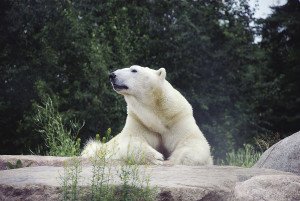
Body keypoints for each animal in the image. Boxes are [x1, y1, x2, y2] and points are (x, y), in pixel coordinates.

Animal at [81, 65, 213, 166]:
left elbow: (192, 141)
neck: (156, 111)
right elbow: (131, 141)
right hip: (97, 148)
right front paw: (157, 157)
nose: (112, 75)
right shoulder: (140, 120)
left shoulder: (177, 118)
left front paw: (173, 160)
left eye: (134, 70)